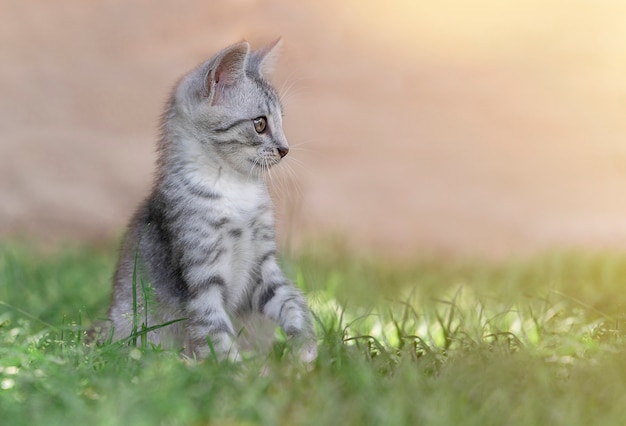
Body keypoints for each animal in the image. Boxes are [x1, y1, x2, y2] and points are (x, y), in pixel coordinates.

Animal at [106, 40, 316, 362]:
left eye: (282, 122)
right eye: (260, 124)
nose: (285, 149)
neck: (234, 188)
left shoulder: (264, 268)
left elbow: (290, 300)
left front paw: (304, 346)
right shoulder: (201, 277)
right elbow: (216, 332)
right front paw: (237, 371)